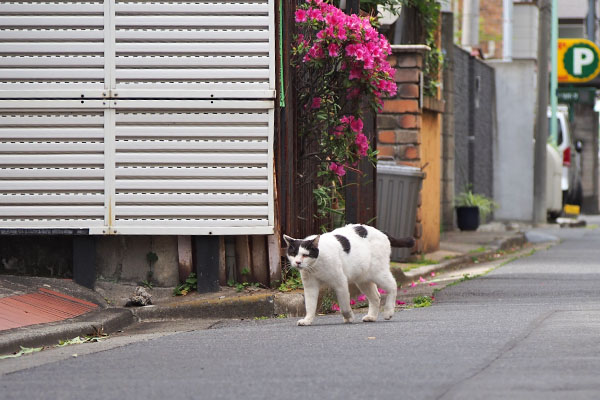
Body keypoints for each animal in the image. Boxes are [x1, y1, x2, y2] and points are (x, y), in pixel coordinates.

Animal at [284, 225, 414, 324]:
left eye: (305, 255)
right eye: (293, 254)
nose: (297, 262)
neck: (315, 267)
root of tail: (380, 231)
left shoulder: (340, 282)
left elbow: (344, 306)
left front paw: (349, 317)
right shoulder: (310, 287)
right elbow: (310, 306)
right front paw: (307, 320)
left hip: (378, 273)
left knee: (393, 285)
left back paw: (388, 312)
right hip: (363, 280)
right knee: (376, 296)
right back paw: (371, 317)